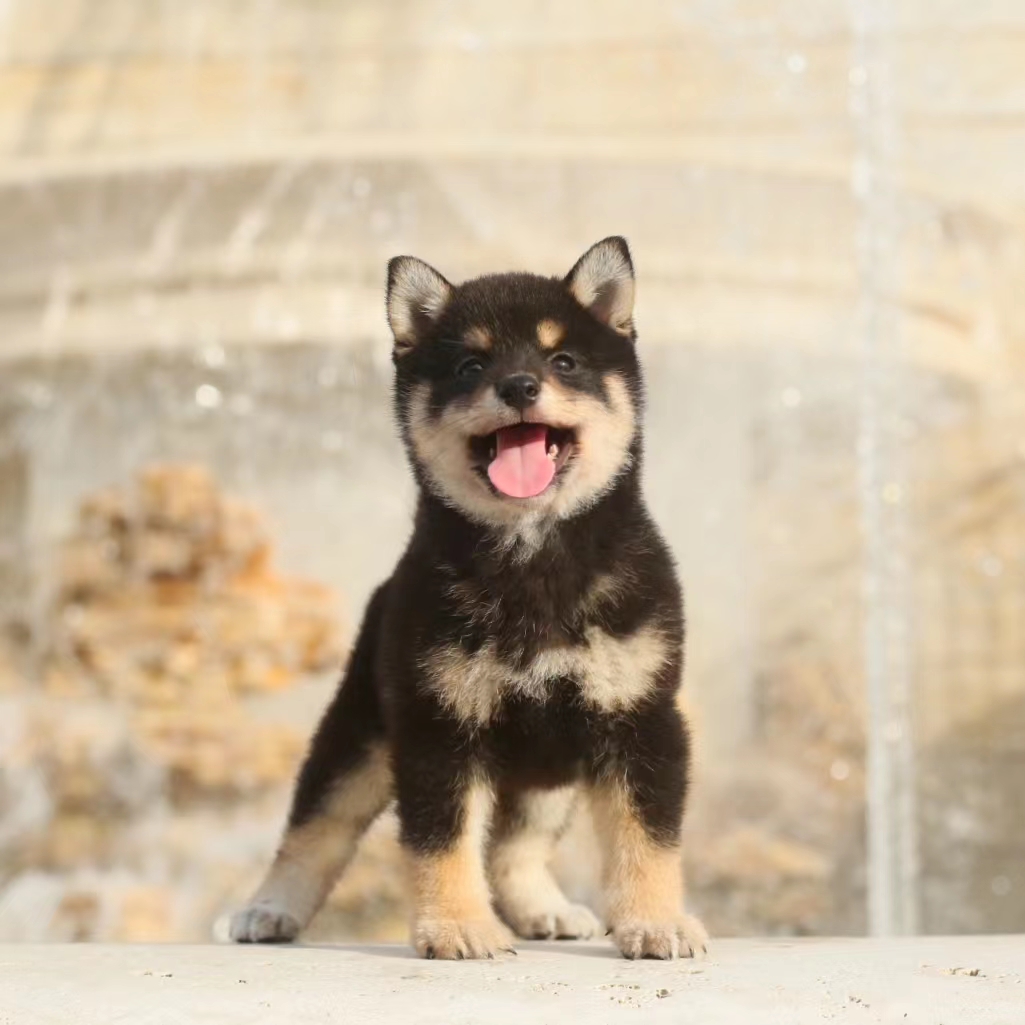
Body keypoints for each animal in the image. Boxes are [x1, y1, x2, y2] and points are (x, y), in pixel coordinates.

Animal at [228, 237, 709, 959]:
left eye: (563, 360)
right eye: (469, 364)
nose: (519, 386)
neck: (532, 562)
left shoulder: (639, 717)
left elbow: (645, 839)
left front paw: (656, 921)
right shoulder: (439, 726)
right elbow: (441, 841)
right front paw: (455, 926)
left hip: (545, 776)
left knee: (514, 849)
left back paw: (544, 909)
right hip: (360, 735)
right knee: (315, 829)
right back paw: (269, 908)